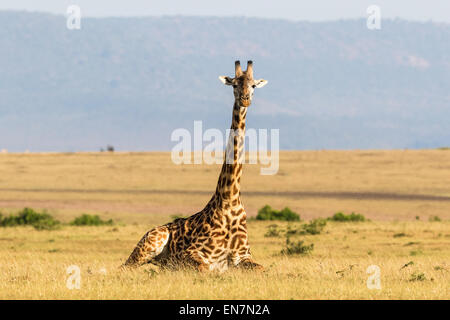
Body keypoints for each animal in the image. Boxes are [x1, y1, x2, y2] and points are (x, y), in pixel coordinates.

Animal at [122, 60, 268, 272]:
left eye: (254, 85)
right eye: (234, 84)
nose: (245, 99)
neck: (230, 200)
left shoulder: (243, 256)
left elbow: (263, 269)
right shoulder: (189, 254)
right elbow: (204, 268)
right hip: (148, 244)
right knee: (124, 267)